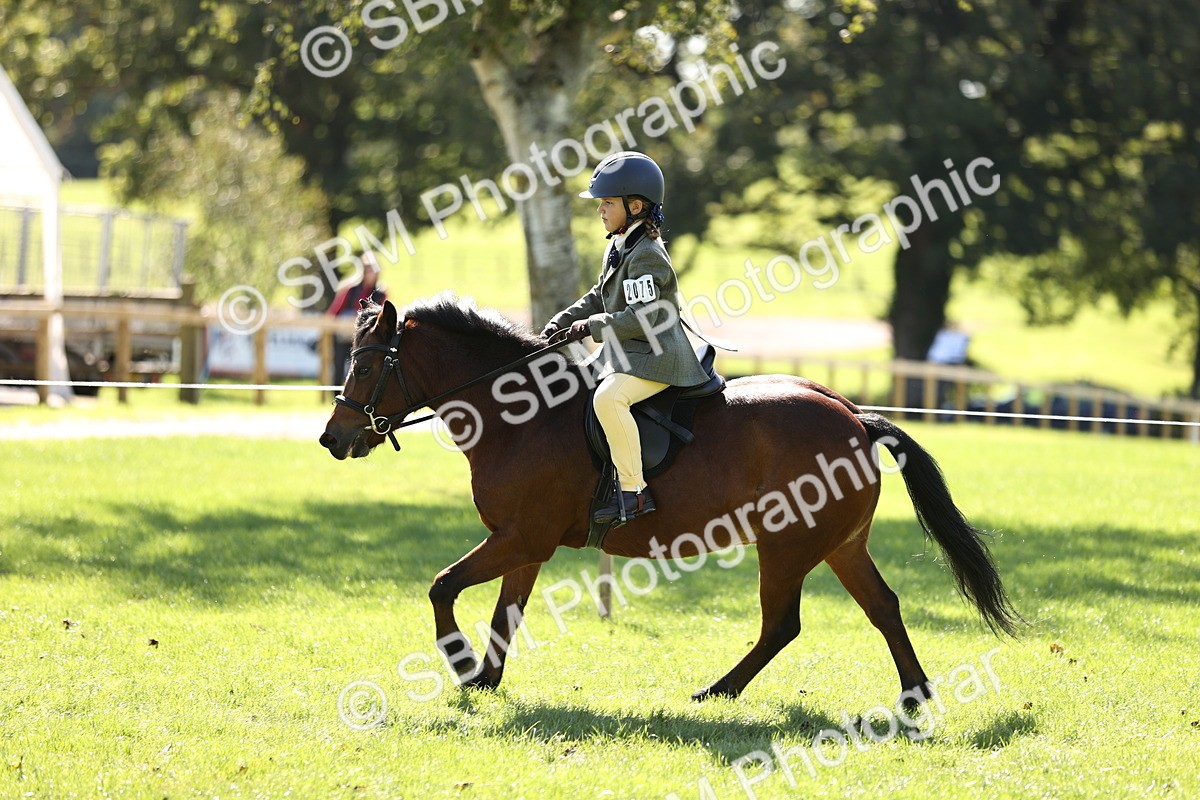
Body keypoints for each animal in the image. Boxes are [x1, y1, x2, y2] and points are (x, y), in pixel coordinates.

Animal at [319, 295, 1022, 707]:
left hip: (788, 544)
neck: (519, 414)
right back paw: (914, 697)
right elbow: (504, 614)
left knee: (782, 624)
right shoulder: (523, 545)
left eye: (364, 366)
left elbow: (442, 586)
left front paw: (461, 663)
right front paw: (484, 678)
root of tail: (853, 414)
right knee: (882, 607)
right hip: (839, 545)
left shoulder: (520, 538)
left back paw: (716, 692)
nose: (332, 438)